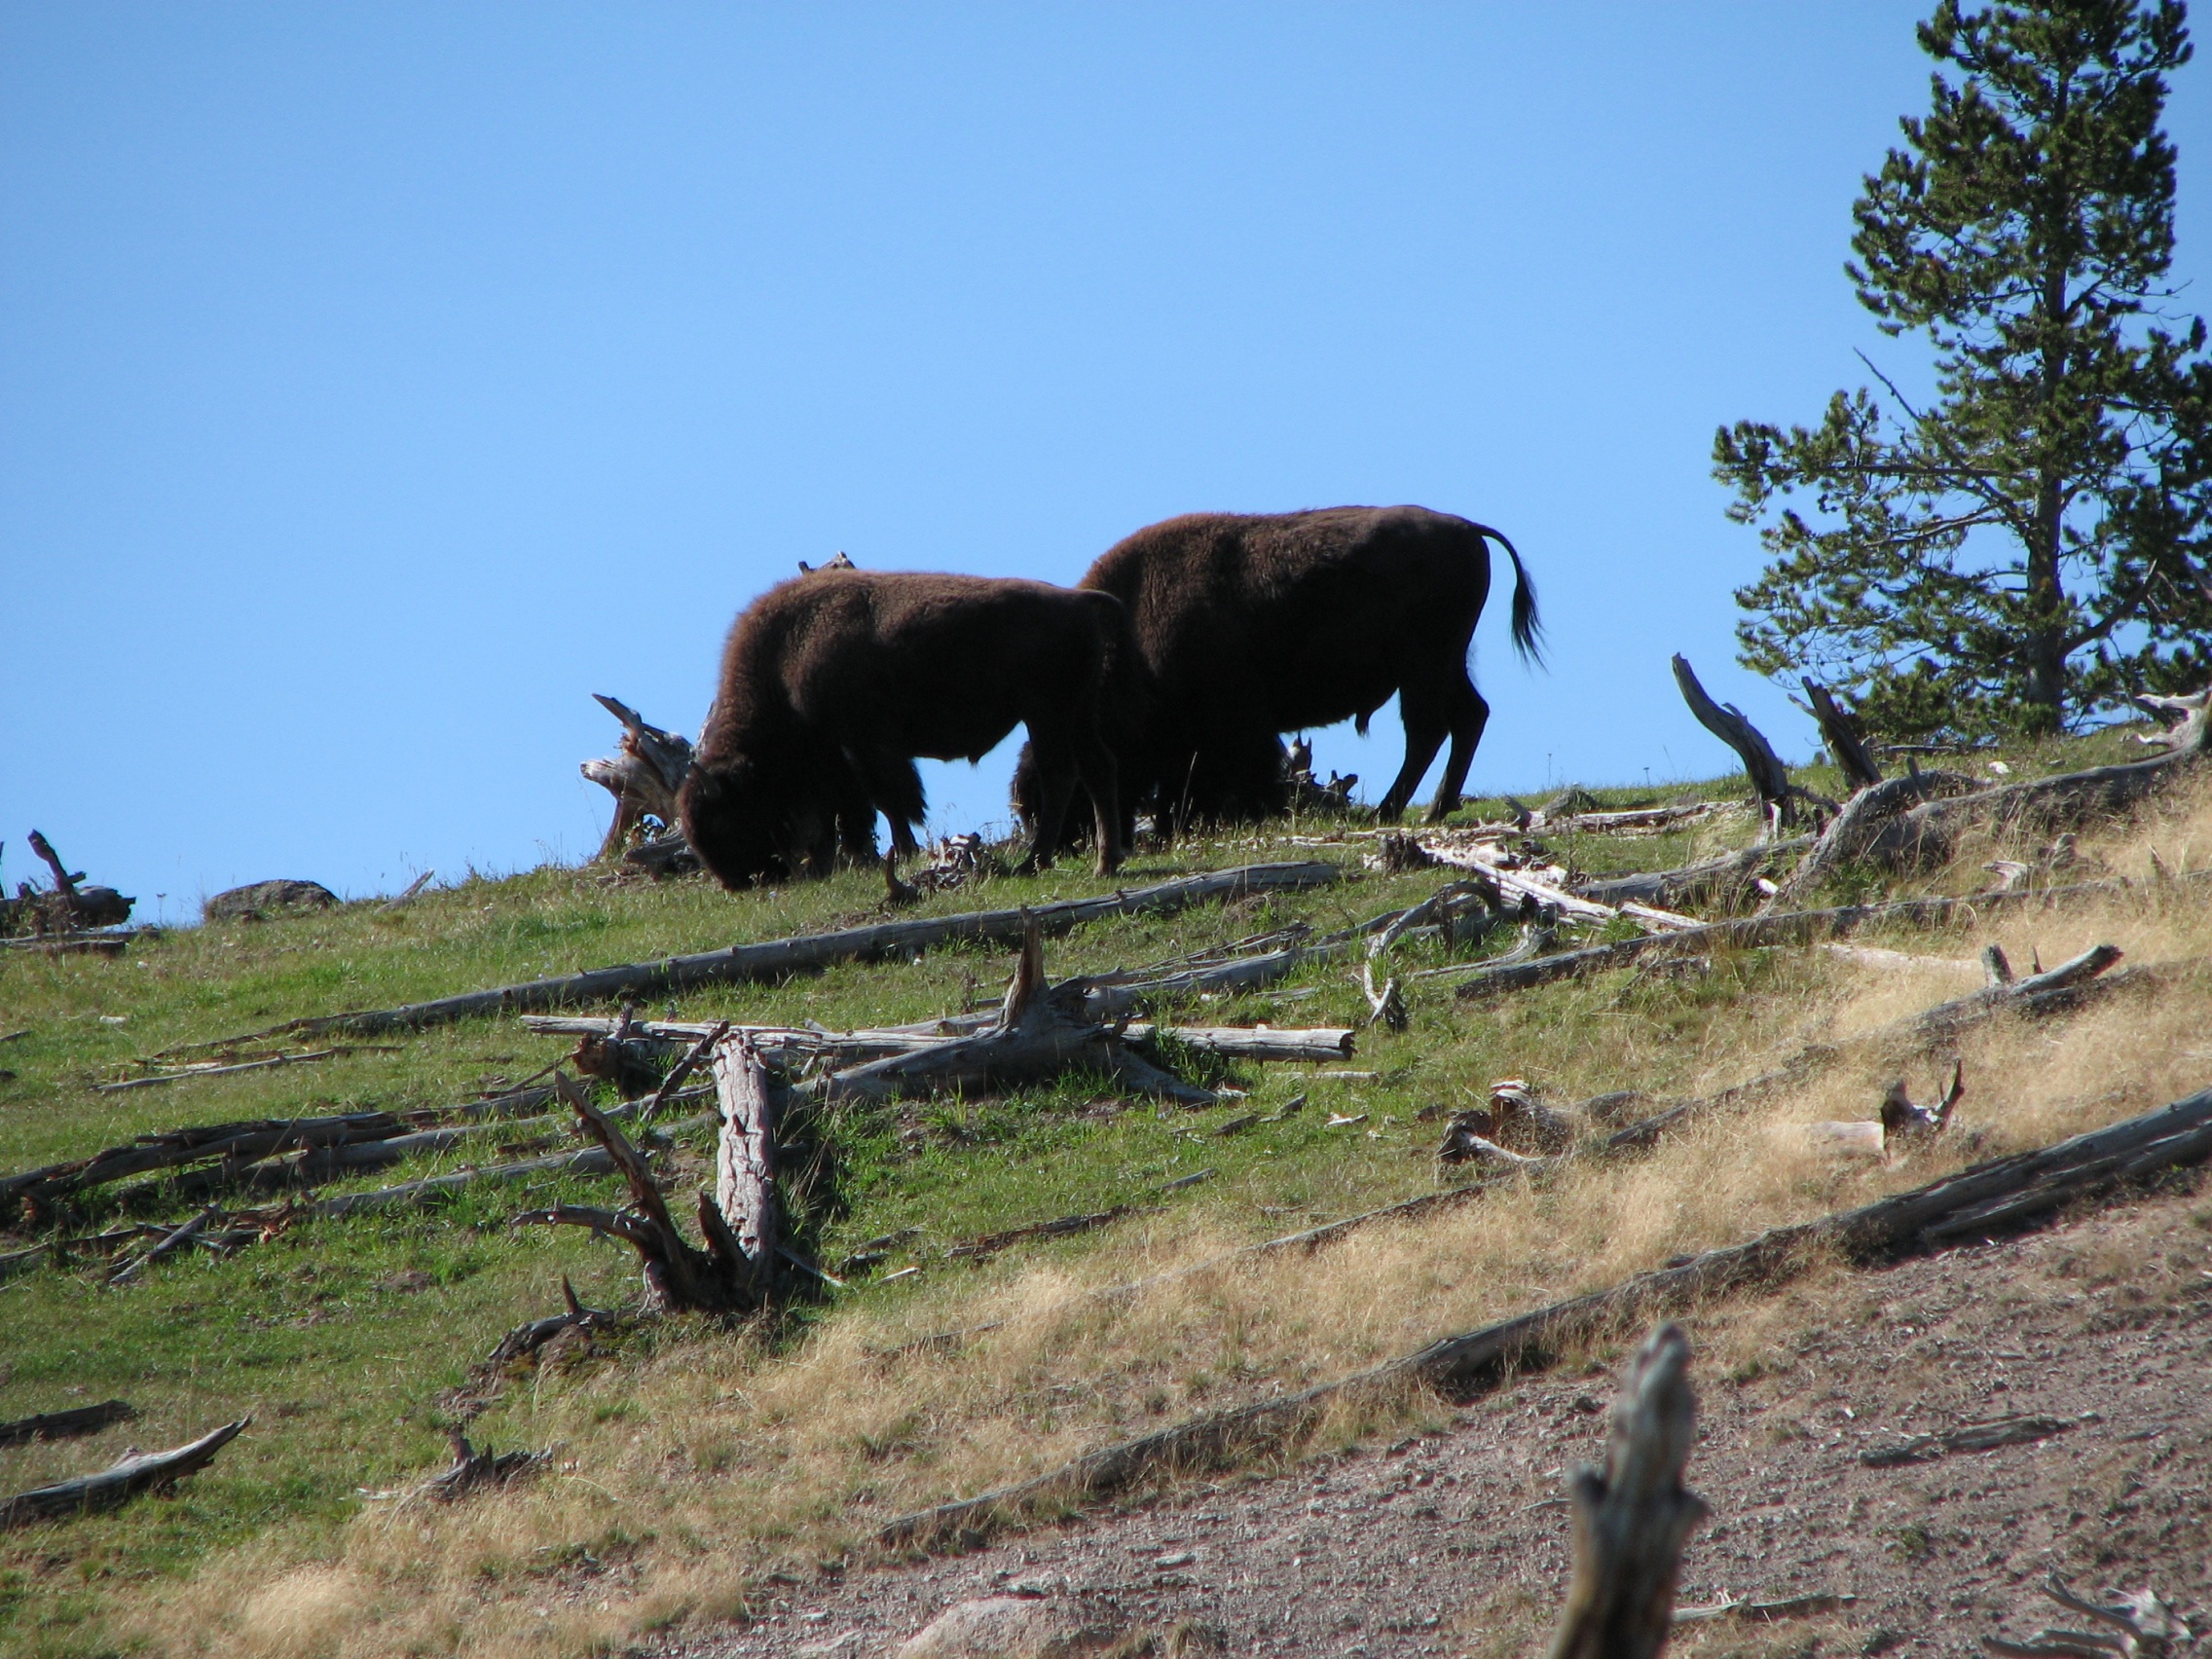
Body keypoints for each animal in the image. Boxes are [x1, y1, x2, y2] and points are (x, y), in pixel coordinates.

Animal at [672, 571, 1124, 889]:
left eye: (722, 820)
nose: (736, 883)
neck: (786, 657)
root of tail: (1077, 600)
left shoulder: (860, 749)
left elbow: (884, 802)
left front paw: (900, 853)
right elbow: (846, 811)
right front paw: (831, 863)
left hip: (1047, 716)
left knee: (1059, 776)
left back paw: (1036, 862)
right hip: (1075, 717)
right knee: (1098, 771)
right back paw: (1105, 863)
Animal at [1013, 504, 1539, 844]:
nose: (1063, 843)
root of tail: (1467, 528)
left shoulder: (1235, 726)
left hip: (1423, 668)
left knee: (1428, 731)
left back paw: (1398, 810)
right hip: (1445, 664)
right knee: (1467, 717)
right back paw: (1433, 806)